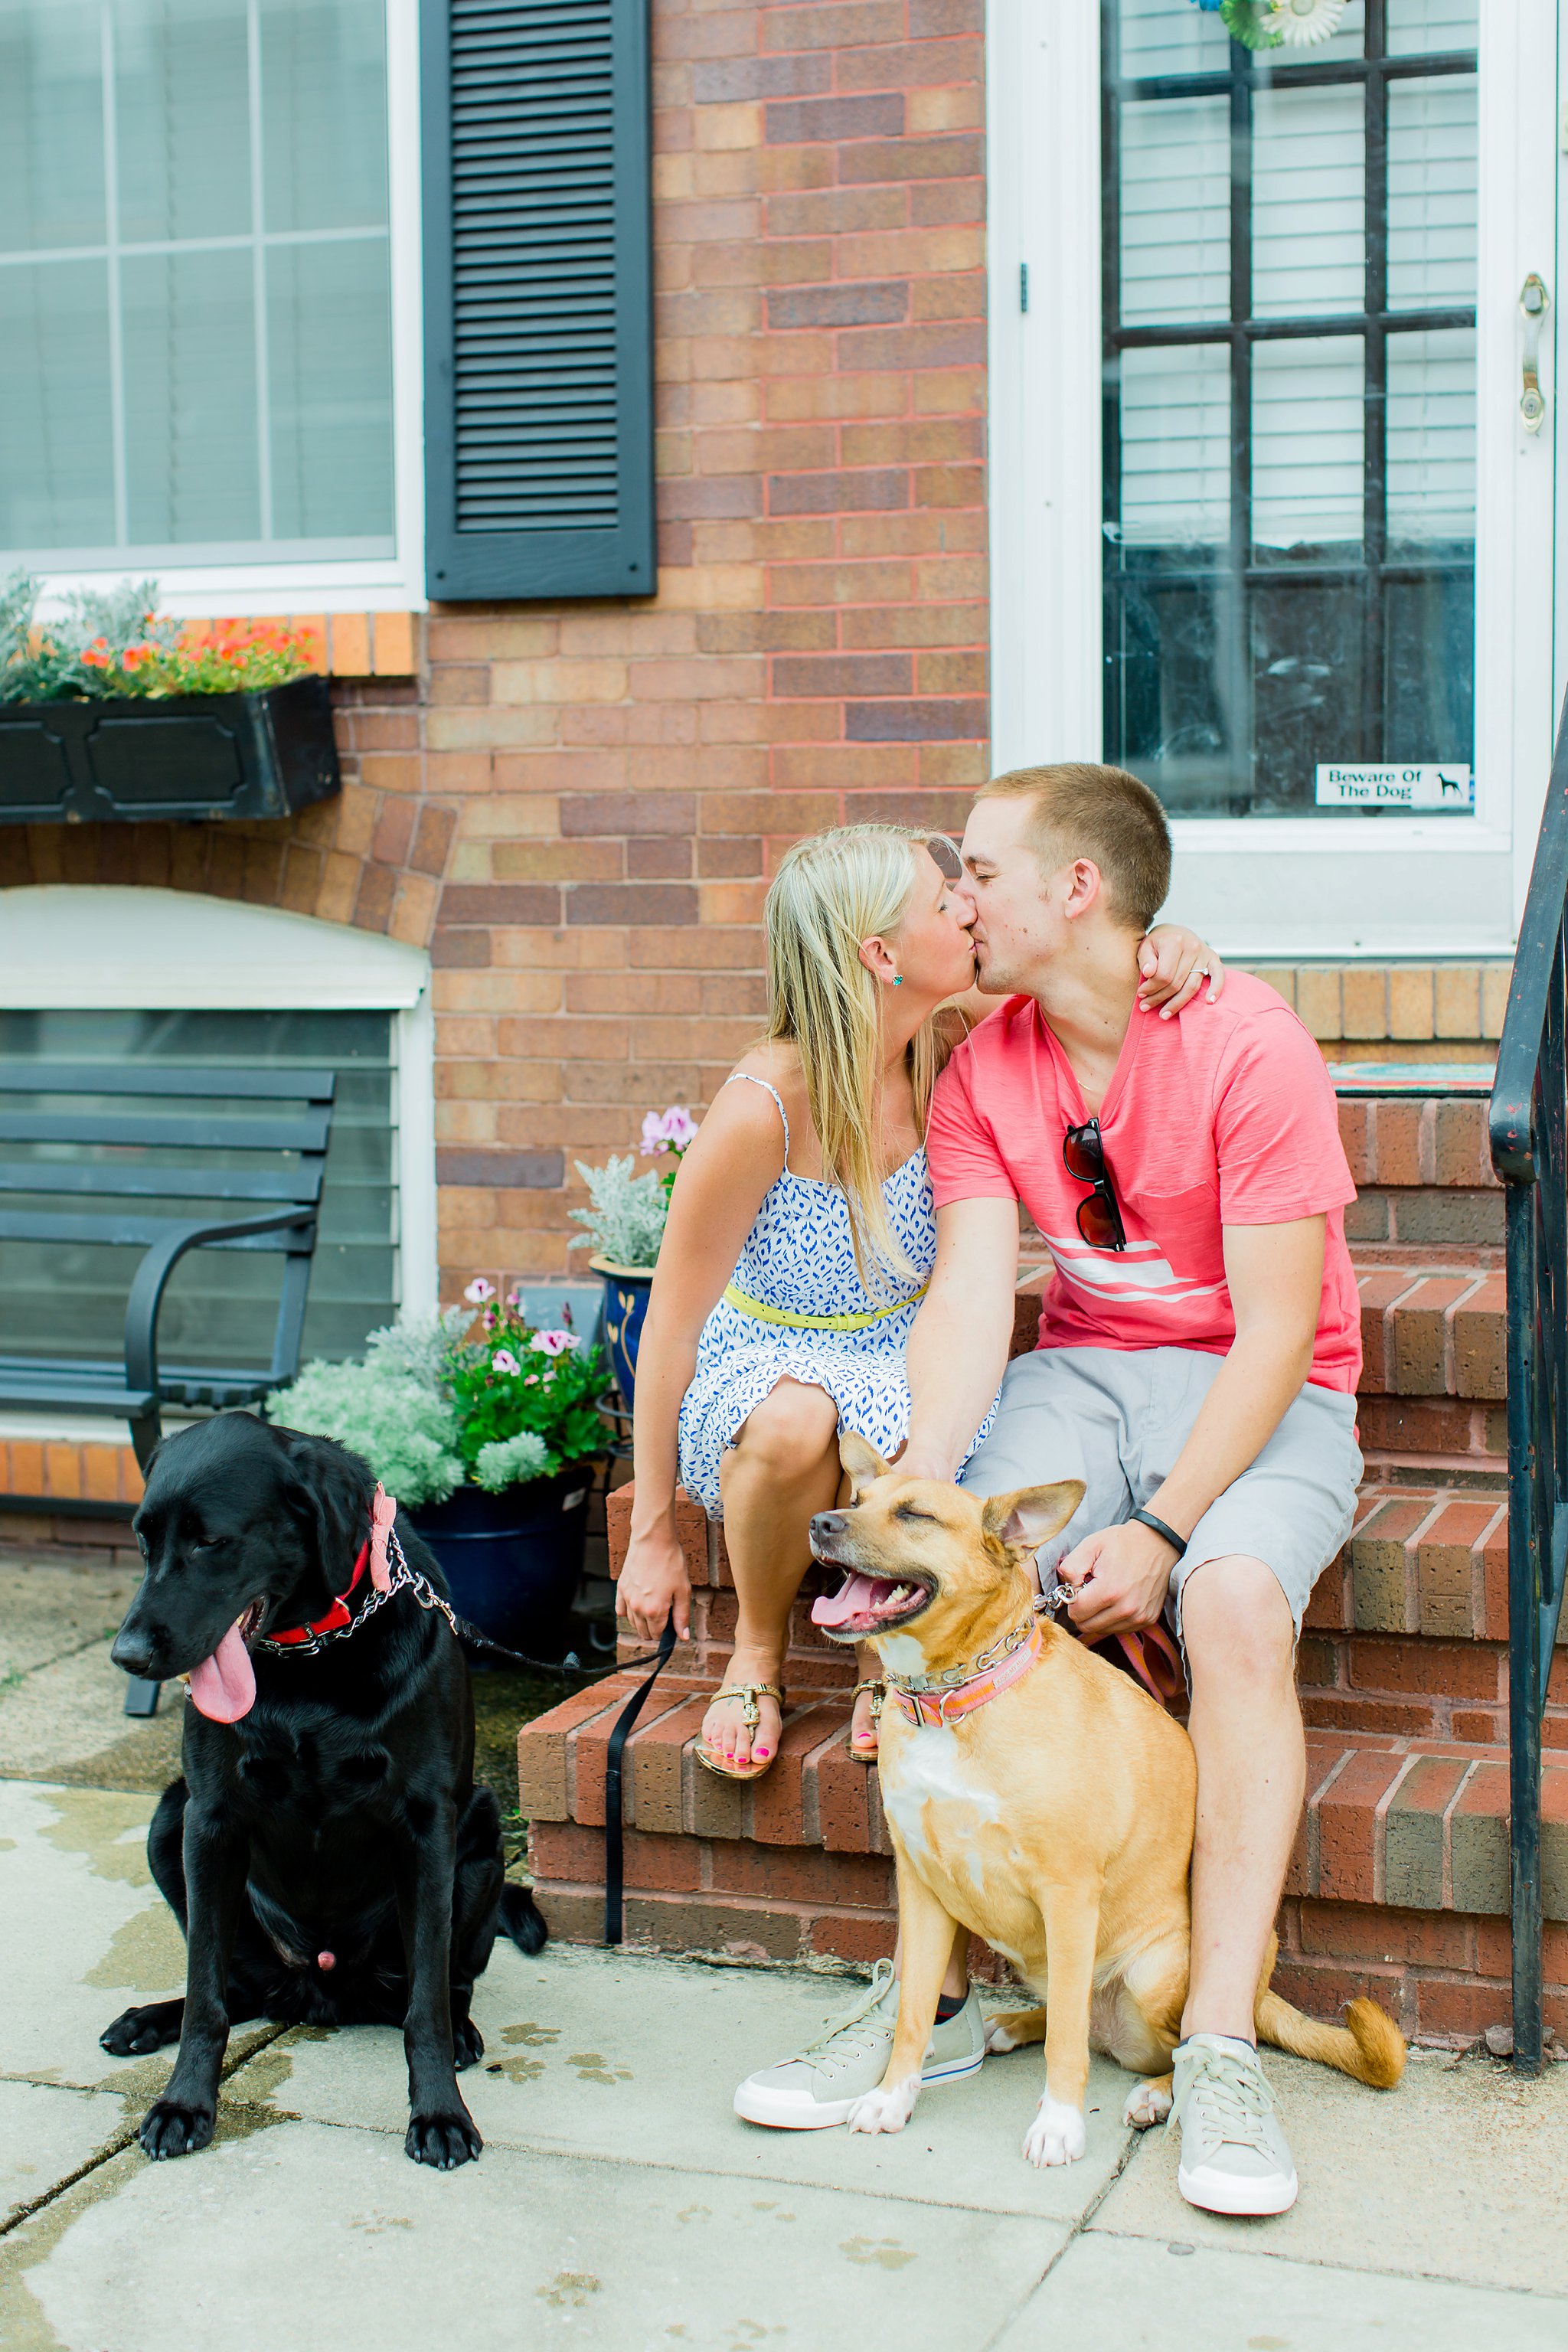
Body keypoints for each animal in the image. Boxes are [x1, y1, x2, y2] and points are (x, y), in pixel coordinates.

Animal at [103, 1401, 545, 2173]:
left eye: (211, 1541)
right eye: (144, 1542)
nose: (126, 1655)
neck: (307, 1657)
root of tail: (318, 1992)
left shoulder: (426, 1826)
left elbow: (426, 2008)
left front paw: (440, 2114)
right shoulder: (209, 1821)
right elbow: (205, 1995)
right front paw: (184, 2104)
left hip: (482, 1835)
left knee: (447, 1986)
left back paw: (463, 2034)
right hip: (168, 1818)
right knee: (235, 1990)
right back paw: (147, 2021)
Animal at [818, 1429, 1400, 2164]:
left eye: (915, 1515)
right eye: (858, 1498)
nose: (821, 1523)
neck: (955, 1699)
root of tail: (1260, 1991)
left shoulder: (1068, 1894)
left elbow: (1068, 2040)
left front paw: (1060, 2125)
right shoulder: (923, 1889)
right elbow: (914, 2013)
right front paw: (894, 2097)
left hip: (1155, 1972)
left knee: (1160, 2046)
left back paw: (1157, 2094)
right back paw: (1014, 2024)